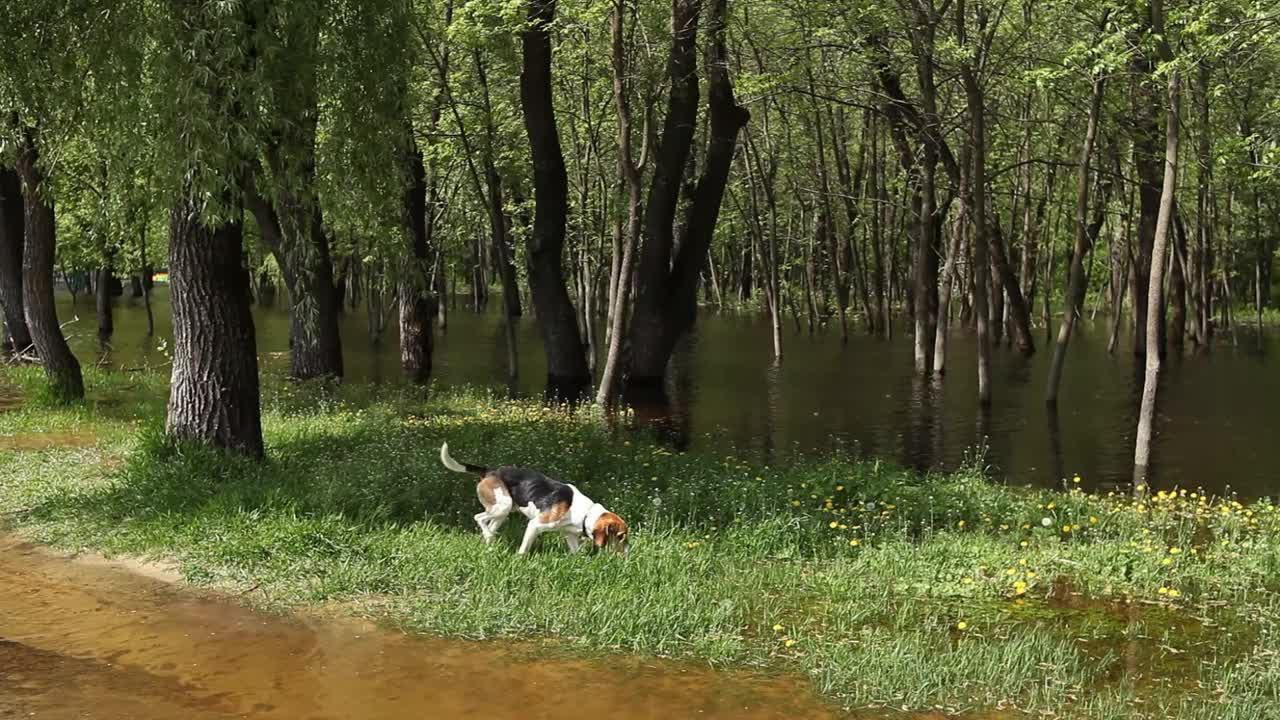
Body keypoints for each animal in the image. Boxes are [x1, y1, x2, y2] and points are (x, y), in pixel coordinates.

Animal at [440, 440, 629, 550]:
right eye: (620, 537)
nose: (629, 553)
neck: (585, 514)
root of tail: (489, 471)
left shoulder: (570, 535)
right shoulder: (535, 525)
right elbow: (524, 549)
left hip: (502, 512)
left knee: (489, 525)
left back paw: (489, 543)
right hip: (503, 505)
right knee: (478, 518)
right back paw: (489, 537)